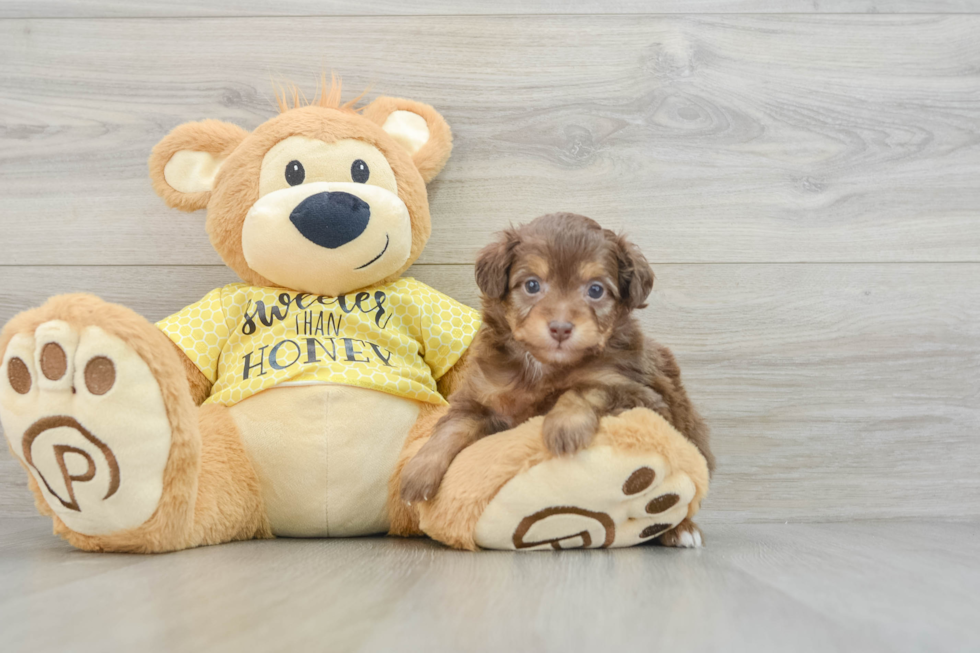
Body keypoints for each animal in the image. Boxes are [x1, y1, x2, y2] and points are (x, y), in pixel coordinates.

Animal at [398, 214, 712, 544]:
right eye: (532, 285)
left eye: (596, 290)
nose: (561, 328)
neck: (541, 367)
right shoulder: (479, 399)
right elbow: (450, 430)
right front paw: (418, 472)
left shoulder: (636, 391)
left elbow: (585, 388)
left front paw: (564, 427)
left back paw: (681, 530)